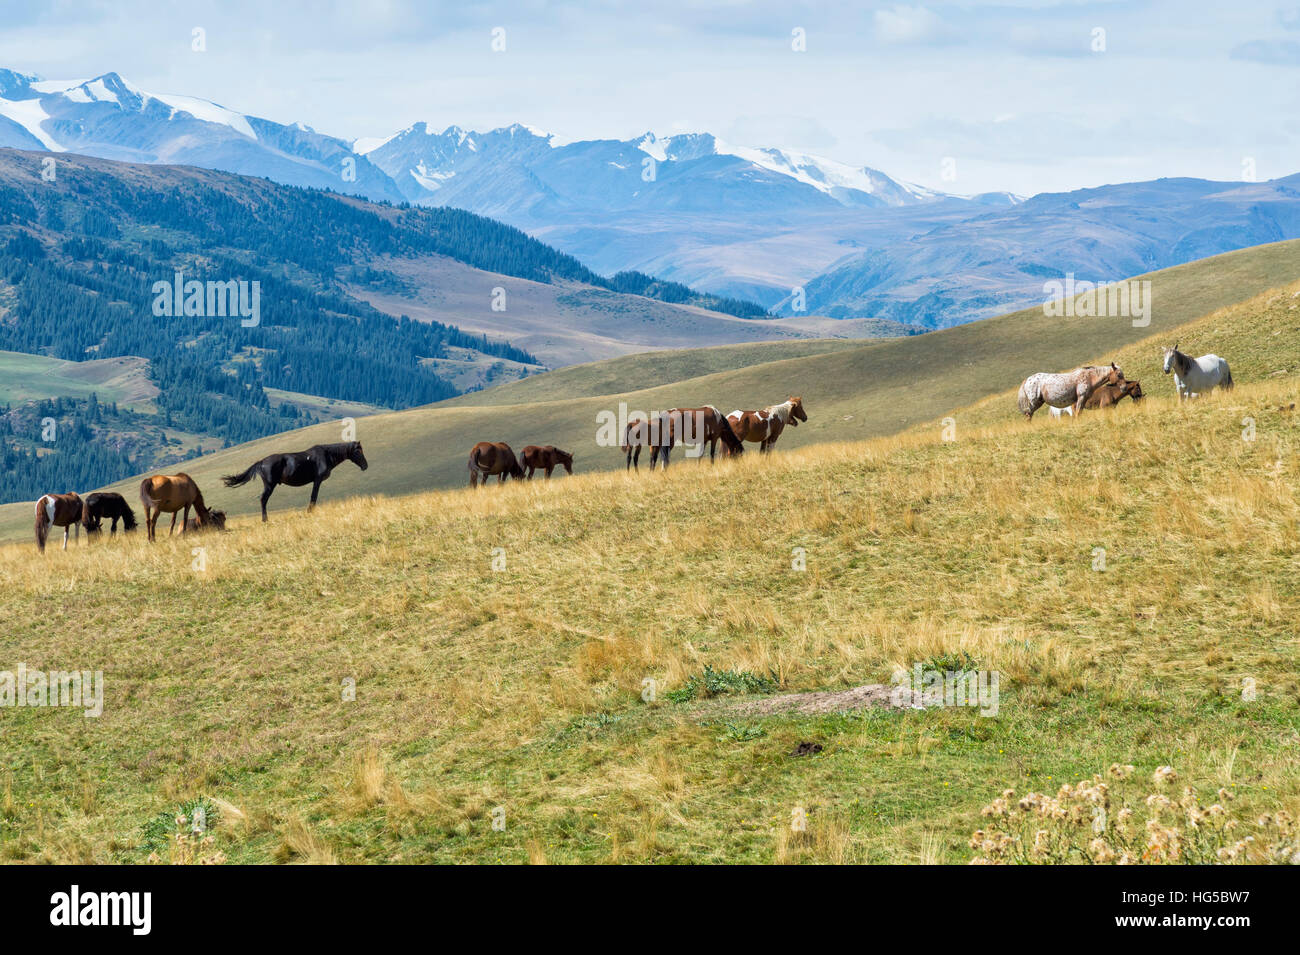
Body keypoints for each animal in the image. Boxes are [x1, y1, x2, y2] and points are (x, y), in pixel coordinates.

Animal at [220, 441, 369, 522]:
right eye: (358, 451)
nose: (365, 466)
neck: (326, 455)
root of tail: (261, 462)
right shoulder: (317, 480)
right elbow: (314, 496)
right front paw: (310, 511)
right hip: (270, 485)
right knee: (263, 499)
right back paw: (265, 519)